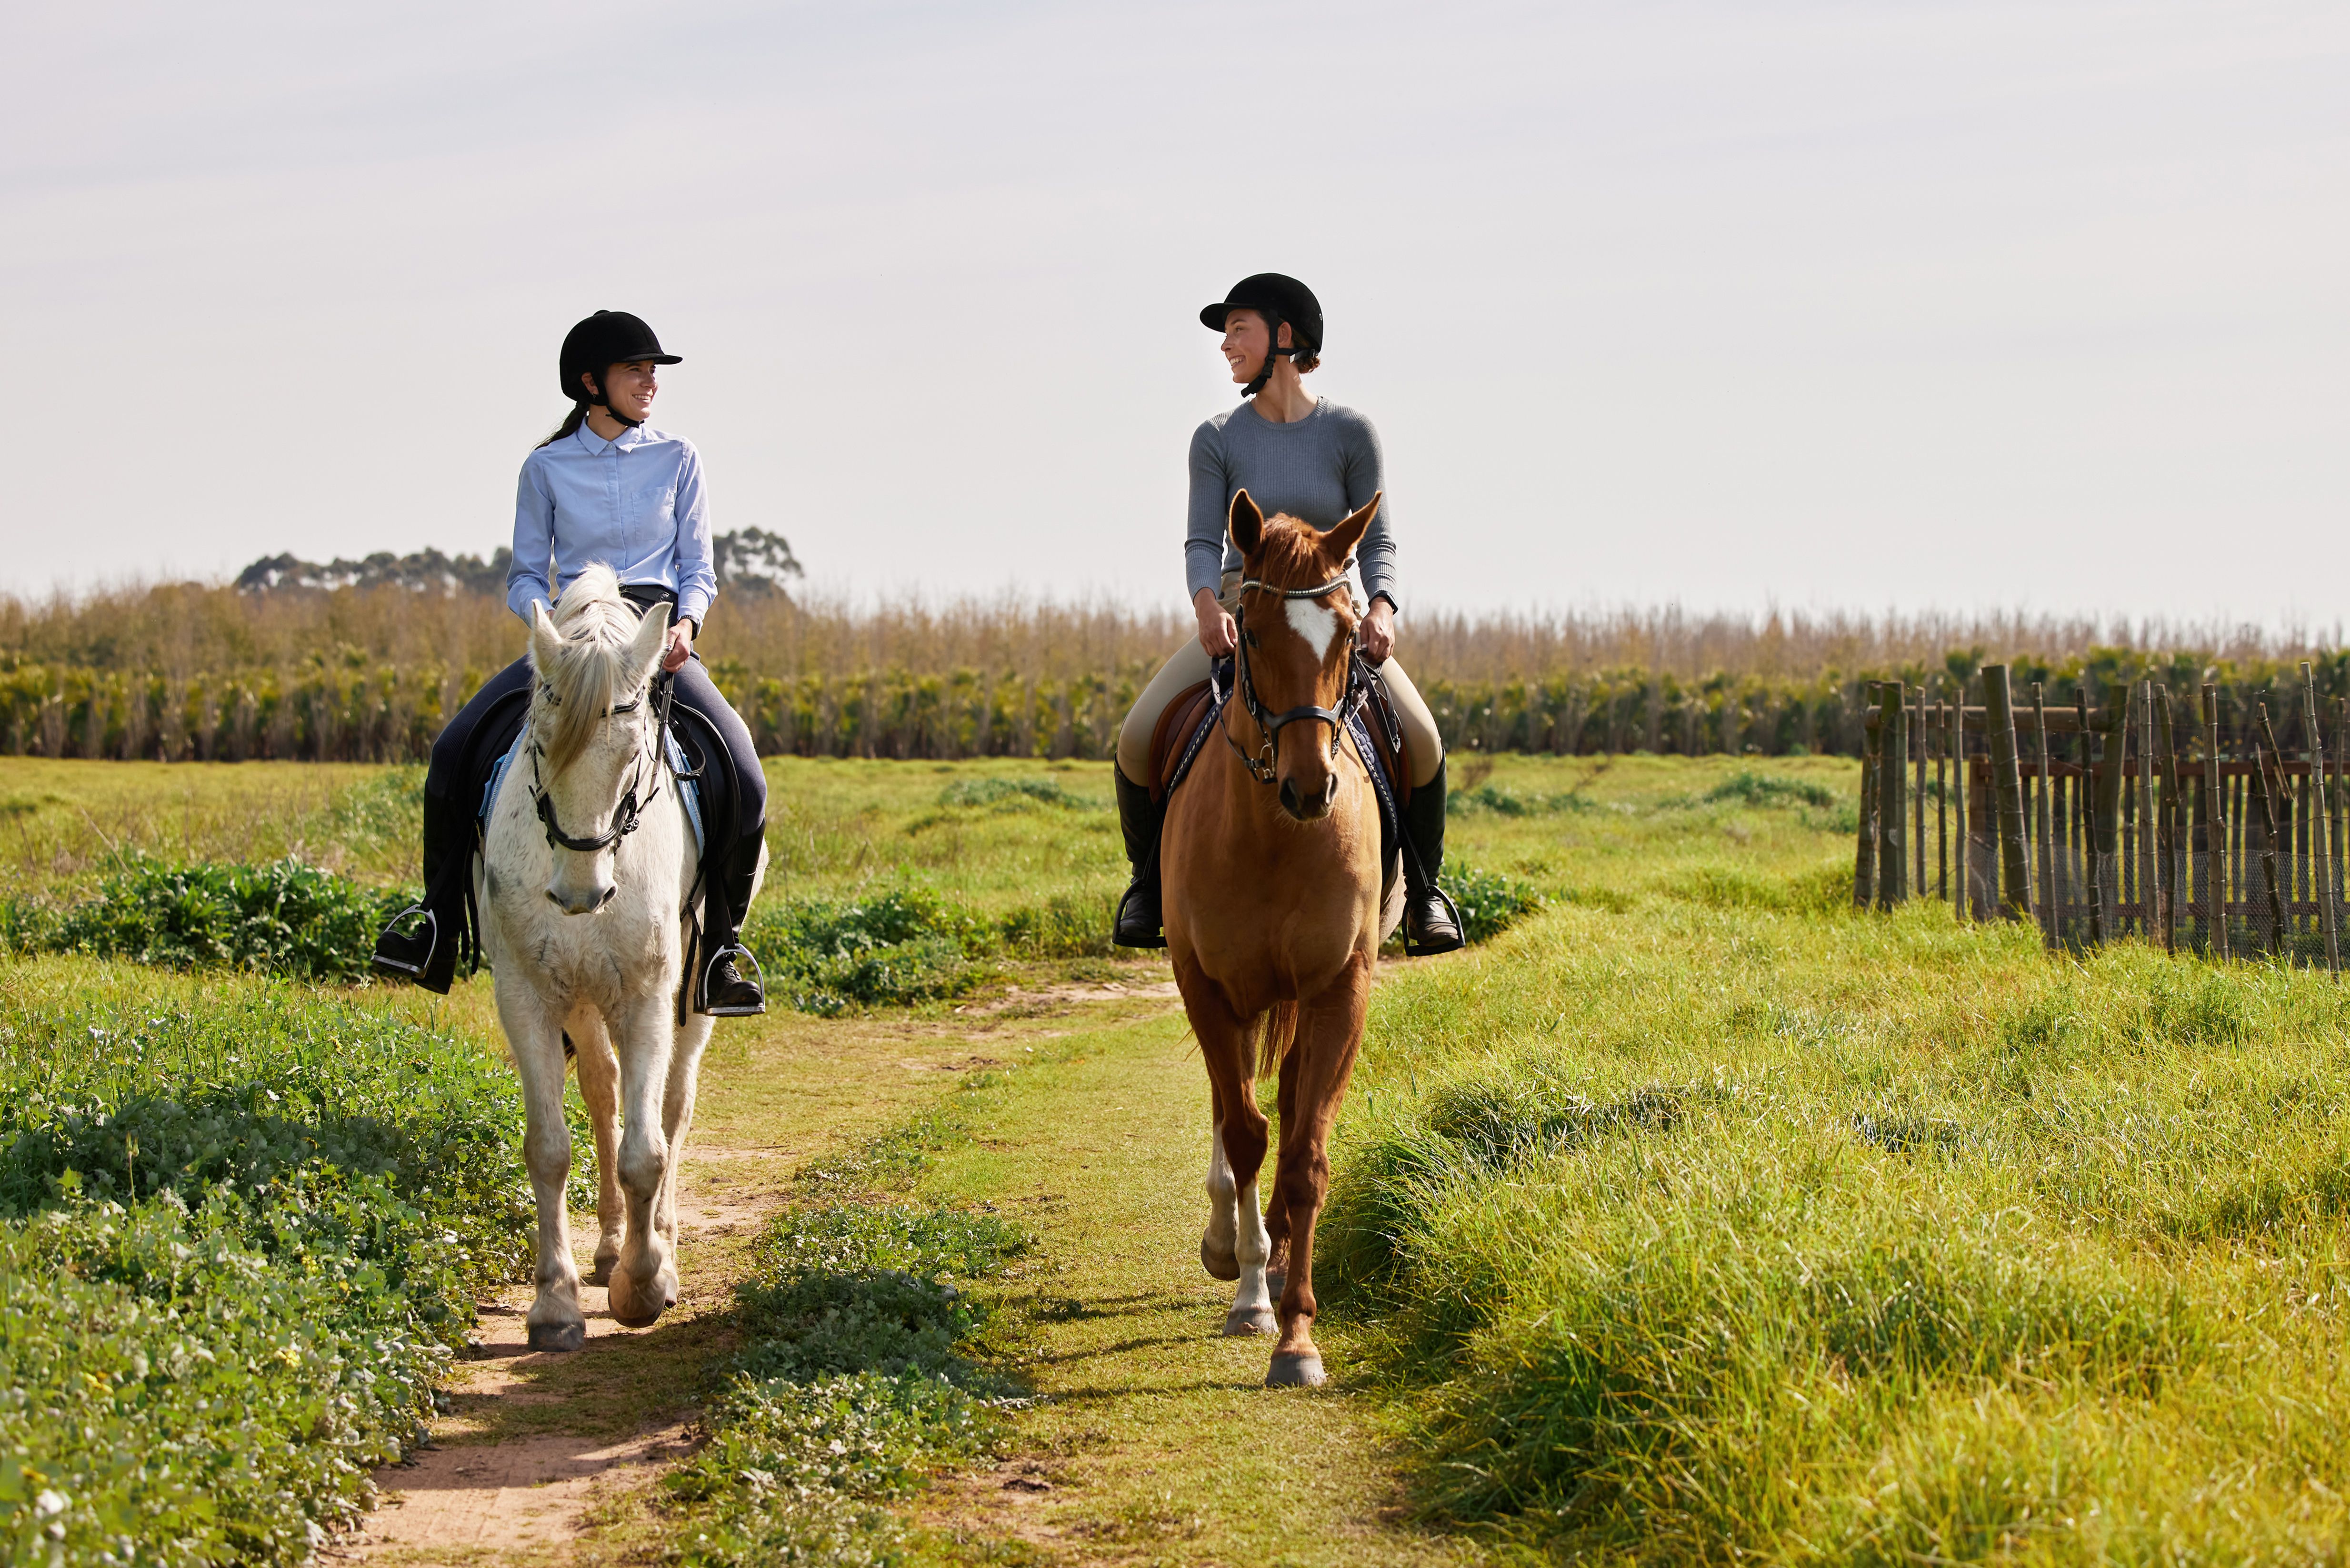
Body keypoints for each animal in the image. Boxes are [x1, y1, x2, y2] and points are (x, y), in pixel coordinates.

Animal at [474, 564, 766, 1354]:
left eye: (635, 751)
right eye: (538, 745)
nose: (582, 893)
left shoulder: (647, 995)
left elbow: (647, 1150)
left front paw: (644, 1285)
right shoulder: (527, 996)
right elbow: (549, 1148)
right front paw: (556, 1305)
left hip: (693, 996)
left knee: (670, 1104)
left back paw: (657, 1243)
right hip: (581, 995)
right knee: (604, 1094)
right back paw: (607, 1248)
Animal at [1160, 486, 1391, 1382]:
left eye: (1350, 634)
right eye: (1251, 633)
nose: (1310, 787)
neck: (1273, 837)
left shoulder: (1339, 990)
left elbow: (1303, 1155)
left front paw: (1297, 1335)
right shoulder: (1205, 986)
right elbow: (1246, 1133)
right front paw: (1252, 1295)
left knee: (1286, 1104)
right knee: (1232, 1111)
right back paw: (1230, 1241)